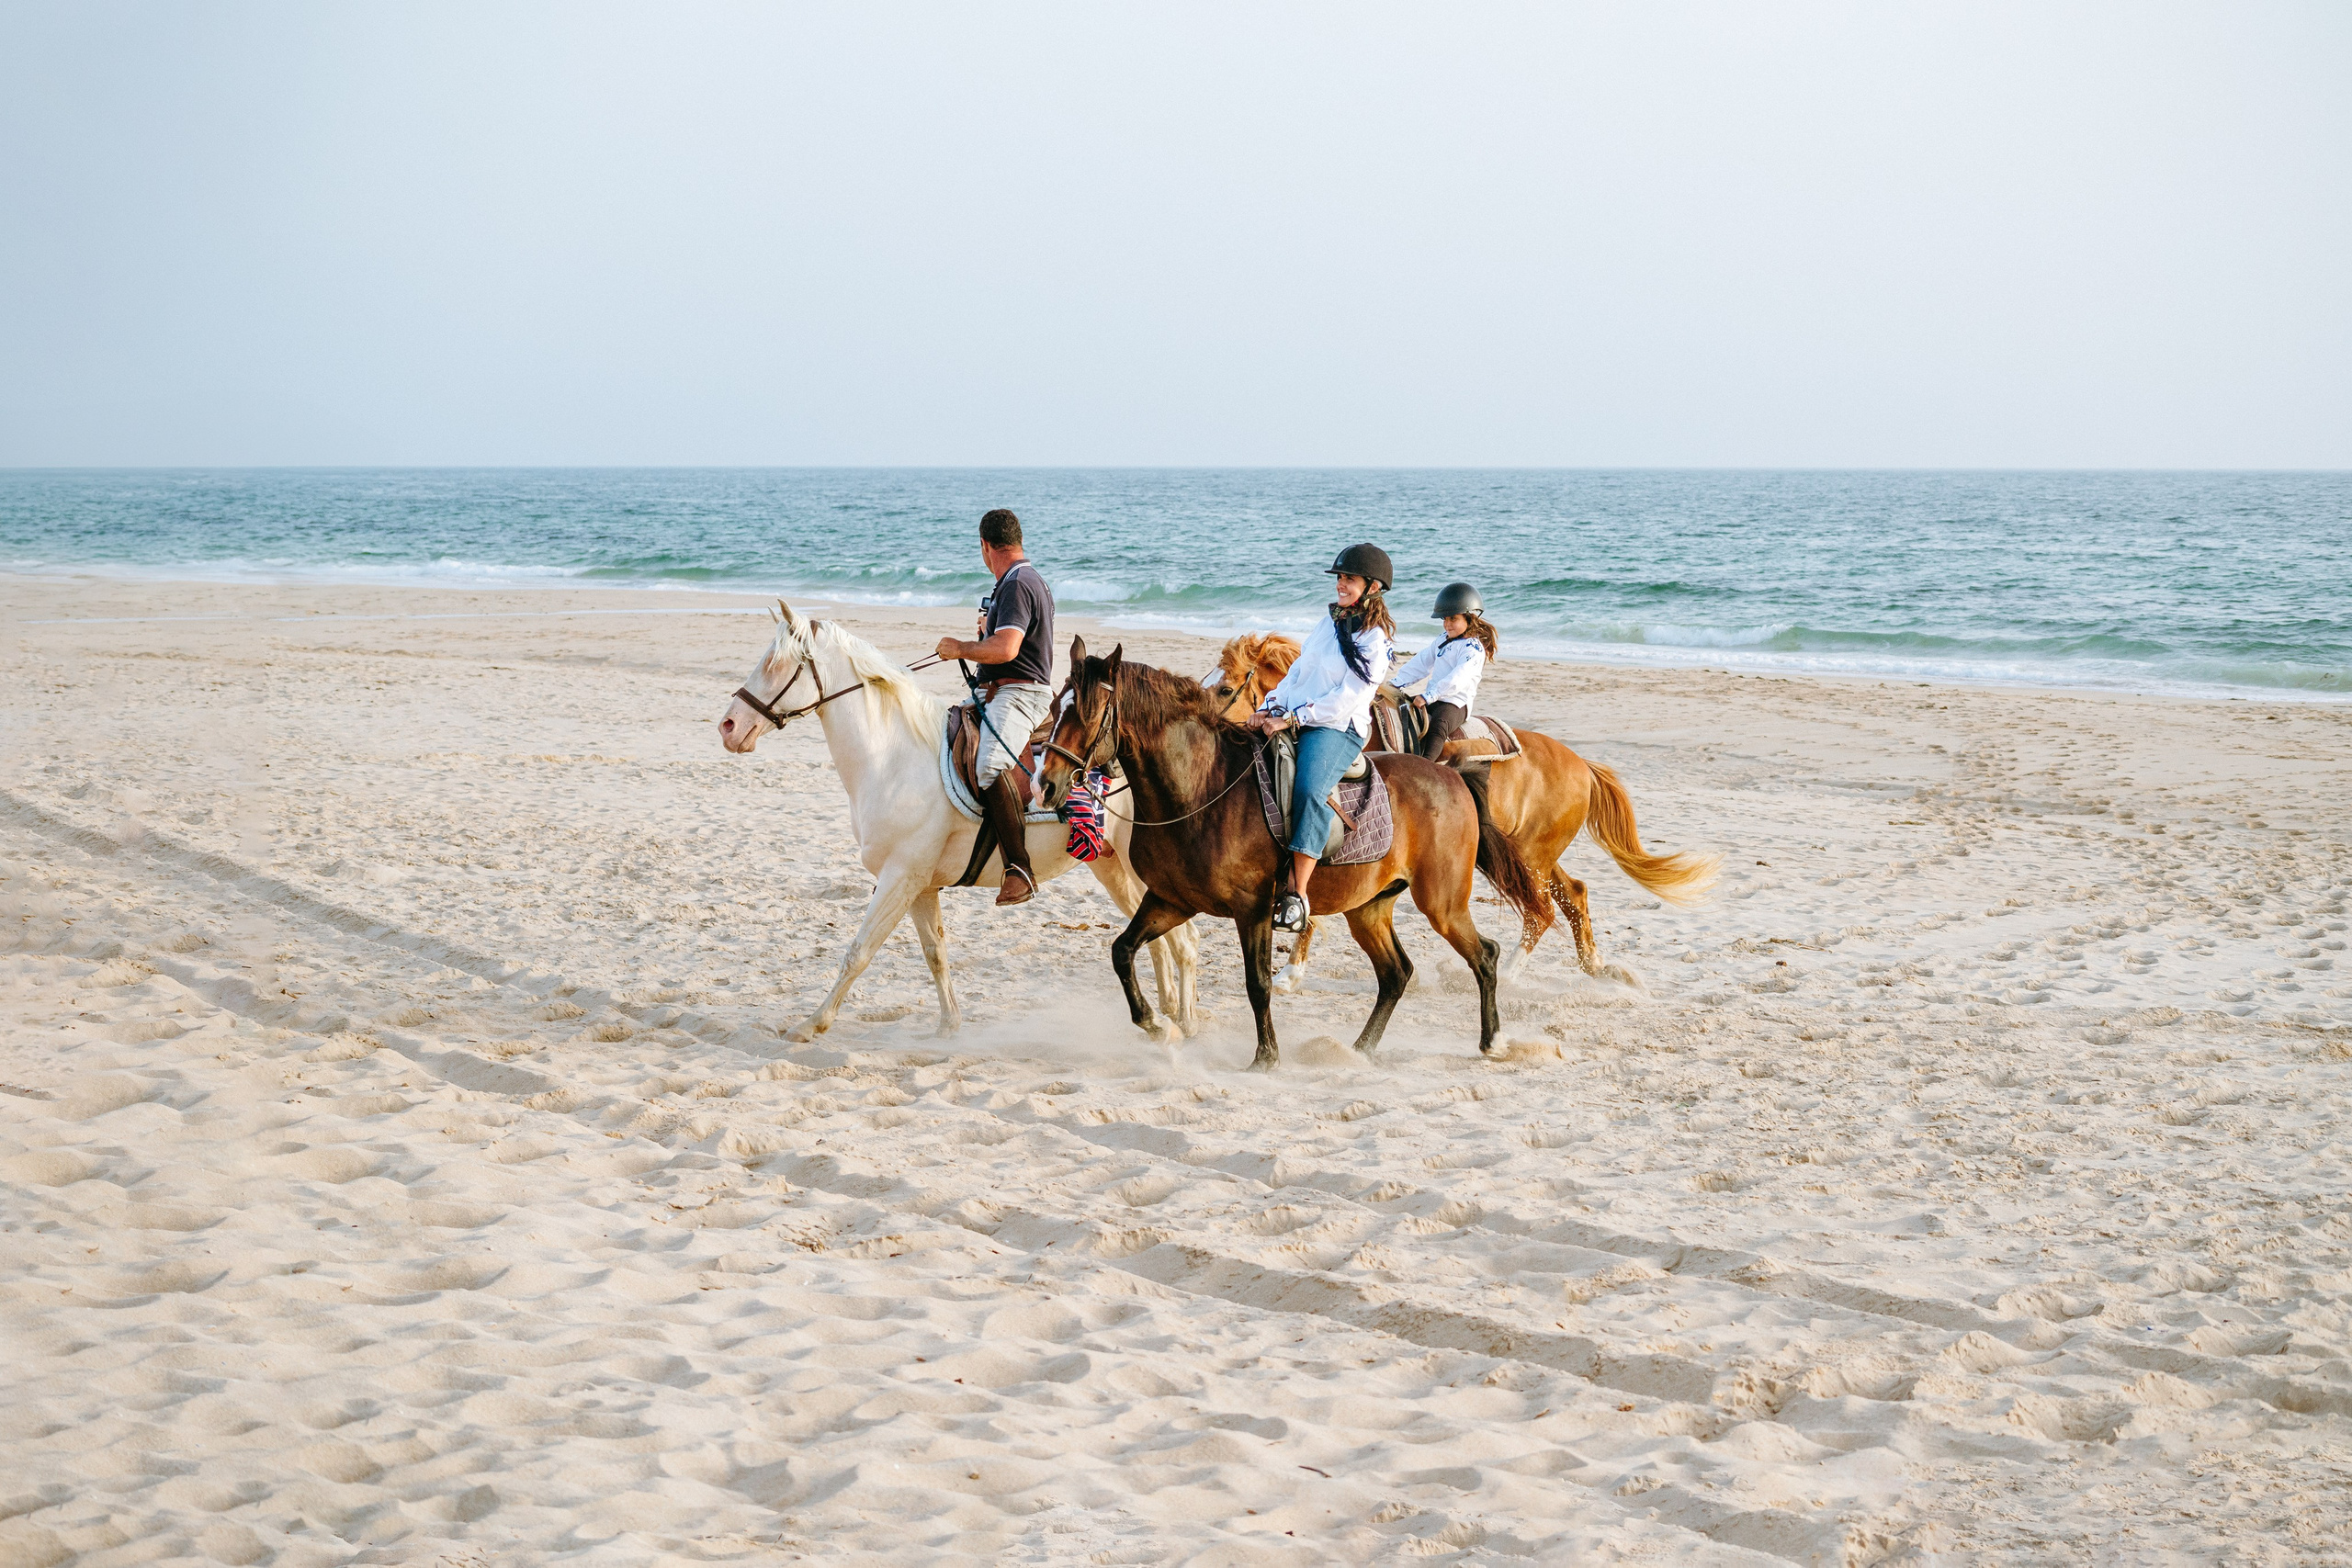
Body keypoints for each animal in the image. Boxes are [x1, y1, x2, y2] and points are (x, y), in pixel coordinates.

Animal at [717, 603, 1200, 1043]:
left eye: (776, 663)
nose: (728, 726)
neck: (893, 756)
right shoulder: (919, 886)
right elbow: (935, 952)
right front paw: (949, 1026)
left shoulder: (899, 877)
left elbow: (859, 952)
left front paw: (811, 1024)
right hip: (1112, 866)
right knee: (1162, 942)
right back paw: (1165, 1018)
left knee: (1184, 941)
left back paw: (1182, 1024)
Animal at [1036, 639, 1551, 1069]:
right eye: (1058, 706)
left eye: (1088, 712)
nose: (1047, 784)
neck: (1201, 788)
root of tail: (1452, 776)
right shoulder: (1170, 901)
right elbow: (1122, 952)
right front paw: (1159, 1027)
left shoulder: (1252, 910)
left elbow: (1258, 984)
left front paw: (1265, 1057)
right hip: (1369, 909)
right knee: (1396, 973)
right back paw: (1358, 1050)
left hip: (1442, 903)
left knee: (1484, 955)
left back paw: (1492, 1042)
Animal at [1209, 632, 1717, 992]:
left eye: (1227, 687)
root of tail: (1582, 767)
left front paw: (1291, 972)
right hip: (1534, 856)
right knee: (1574, 895)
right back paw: (1595, 965)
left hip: (1530, 858)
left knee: (1542, 911)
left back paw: (1509, 973)